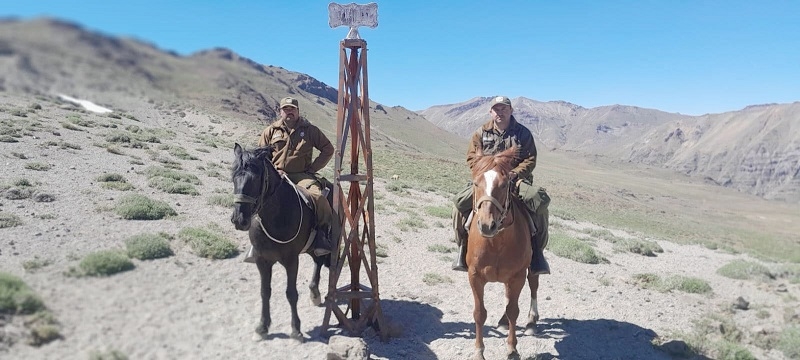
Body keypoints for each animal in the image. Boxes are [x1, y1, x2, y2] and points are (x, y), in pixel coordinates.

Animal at [230, 143, 330, 340]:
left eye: (256, 178)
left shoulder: (291, 261)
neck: (276, 215)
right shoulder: (262, 261)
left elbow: (291, 293)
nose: (239, 220)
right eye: (233, 176)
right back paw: (314, 293)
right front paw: (263, 326)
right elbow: (264, 292)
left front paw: (296, 329)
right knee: (317, 261)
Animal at [466, 147, 536, 360]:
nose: (487, 225)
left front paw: (512, 349)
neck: (495, 242)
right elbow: (479, 313)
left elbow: (514, 310)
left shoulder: (518, 276)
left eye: (504, 185)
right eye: (476, 183)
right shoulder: (474, 276)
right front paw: (479, 351)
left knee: (534, 285)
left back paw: (532, 321)